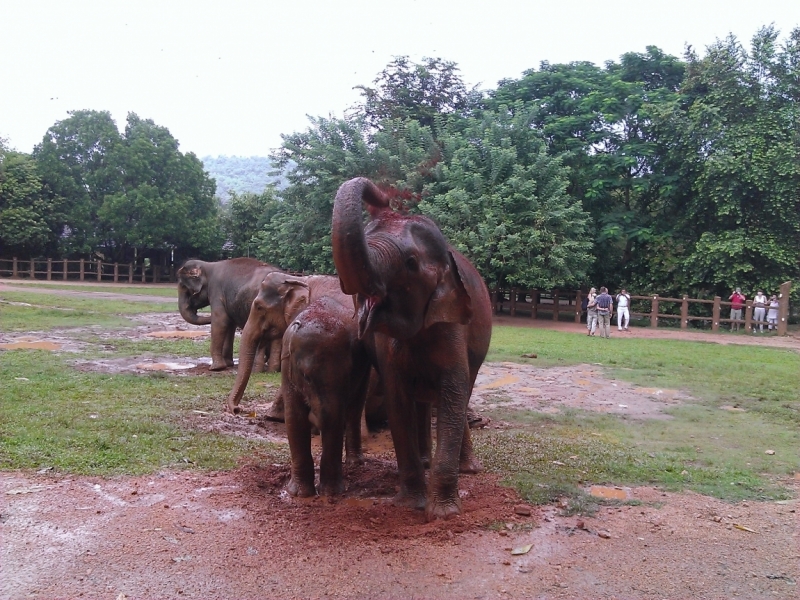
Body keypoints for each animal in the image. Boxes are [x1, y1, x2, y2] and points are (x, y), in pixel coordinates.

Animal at [328, 175, 490, 520]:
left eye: (410, 263)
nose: (384, 197)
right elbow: (397, 398)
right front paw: (410, 504)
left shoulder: (451, 321)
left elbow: (453, 391)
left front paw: (443, 514)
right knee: (423, 400)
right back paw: (428, 462)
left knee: (461, 392)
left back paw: (469, 469)